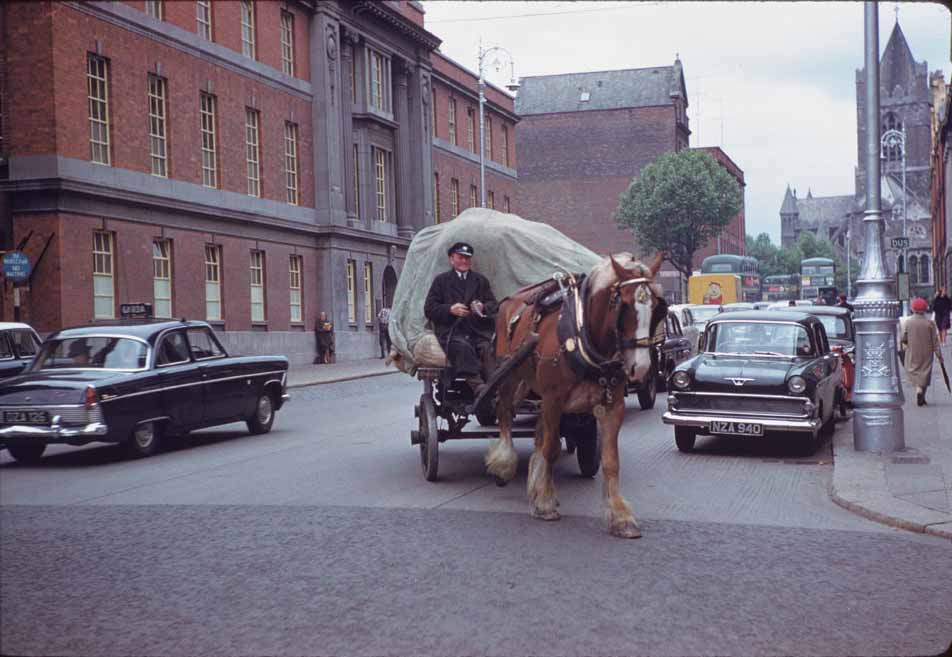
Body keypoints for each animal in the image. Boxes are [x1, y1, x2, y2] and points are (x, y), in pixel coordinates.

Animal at [484, 254, 660, 536]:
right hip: (510, 376)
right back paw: (504, 464)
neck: (581, 333)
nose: (641, 368)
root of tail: (510, 300)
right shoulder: (553, 400)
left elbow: (610, 460)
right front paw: (545, 503)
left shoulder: (612, 405)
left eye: (656, 307)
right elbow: (552, 449)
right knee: (506, 415)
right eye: (624, 306)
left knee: (538, 432)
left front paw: (620, 516)